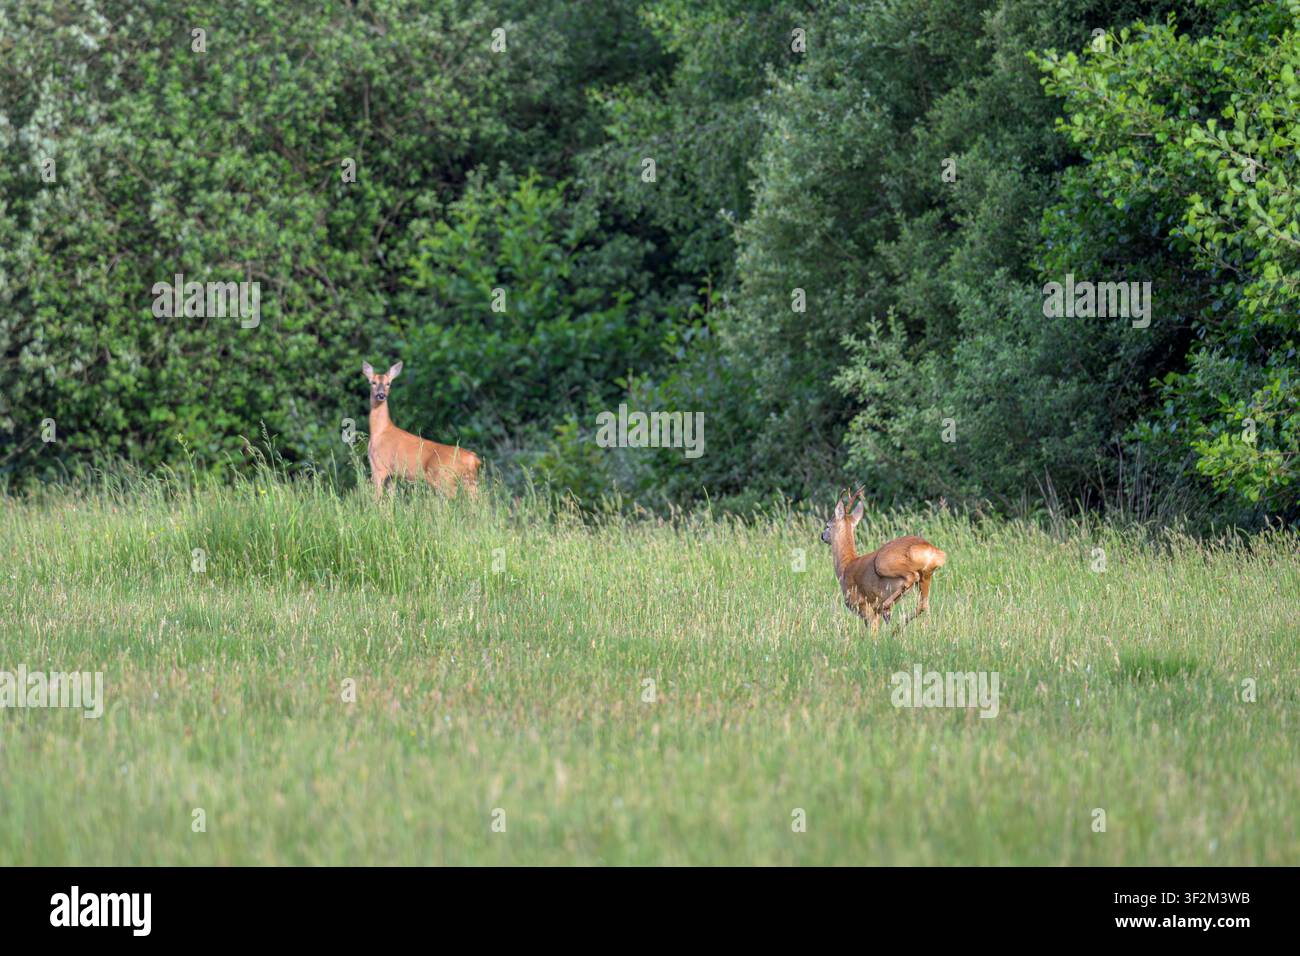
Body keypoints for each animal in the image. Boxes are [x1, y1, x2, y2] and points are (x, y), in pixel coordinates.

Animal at [362, 360, 481, 499]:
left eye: (388, 383)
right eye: (373, 382)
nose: (381, 395)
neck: (380, 431)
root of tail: (473, 459)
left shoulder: (379, 466)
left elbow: (376, 498)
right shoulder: (392, 475)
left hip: (445, 479)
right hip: (470, 482)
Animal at [820, 487, 946, 633]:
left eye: (828, 525)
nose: (822, 536)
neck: (846, 566)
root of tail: (930, 548)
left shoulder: (864, 606)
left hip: (882, 563)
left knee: (912, 576)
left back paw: (887, 610)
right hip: (926, 576)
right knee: (923, 604)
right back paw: (896, 629)